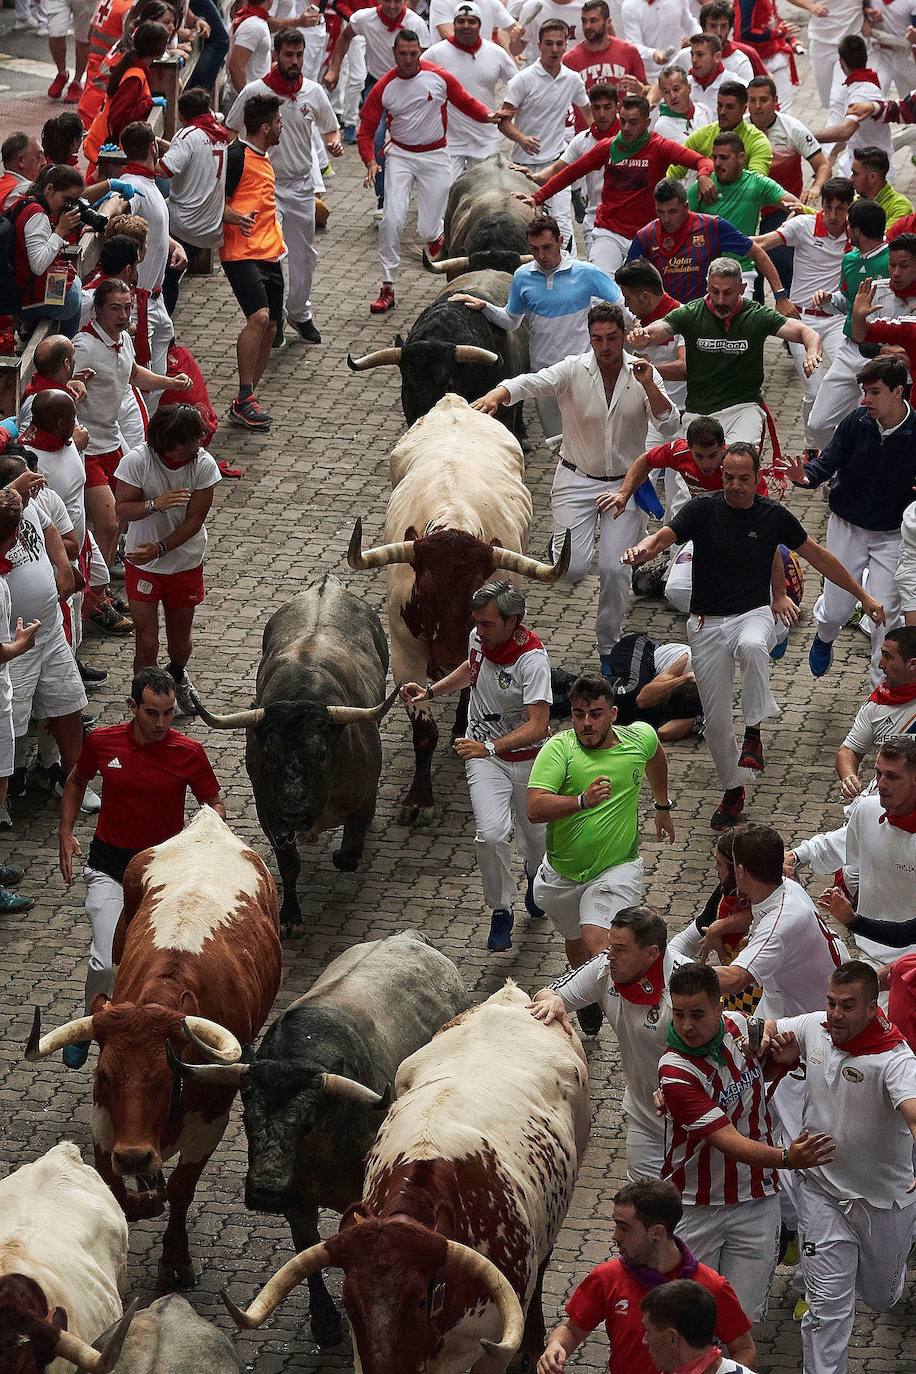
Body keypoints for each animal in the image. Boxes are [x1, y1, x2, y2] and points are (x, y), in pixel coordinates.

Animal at [25, 807, 282, 1291]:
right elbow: (115, 1190)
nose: (135, 1155)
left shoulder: (211, 1121)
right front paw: (144, 1195)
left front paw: (175, 1260)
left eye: (169, 1076)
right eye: (104, 1074)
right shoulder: (106, 1121)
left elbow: (181, 1191)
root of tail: (206, 824)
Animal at [171, 928, 469, 1346]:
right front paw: (326, 1322)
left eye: (307, 1122)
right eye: (246, 1115)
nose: (264, 1191)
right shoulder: (295, 1200)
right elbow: (307, 1248)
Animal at [347, 398, 568, 824]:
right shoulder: (405, 654)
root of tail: (455, 402)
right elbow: (423, 731)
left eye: (476, 592)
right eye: (427, 587)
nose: (447, 654)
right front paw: (418, 800)